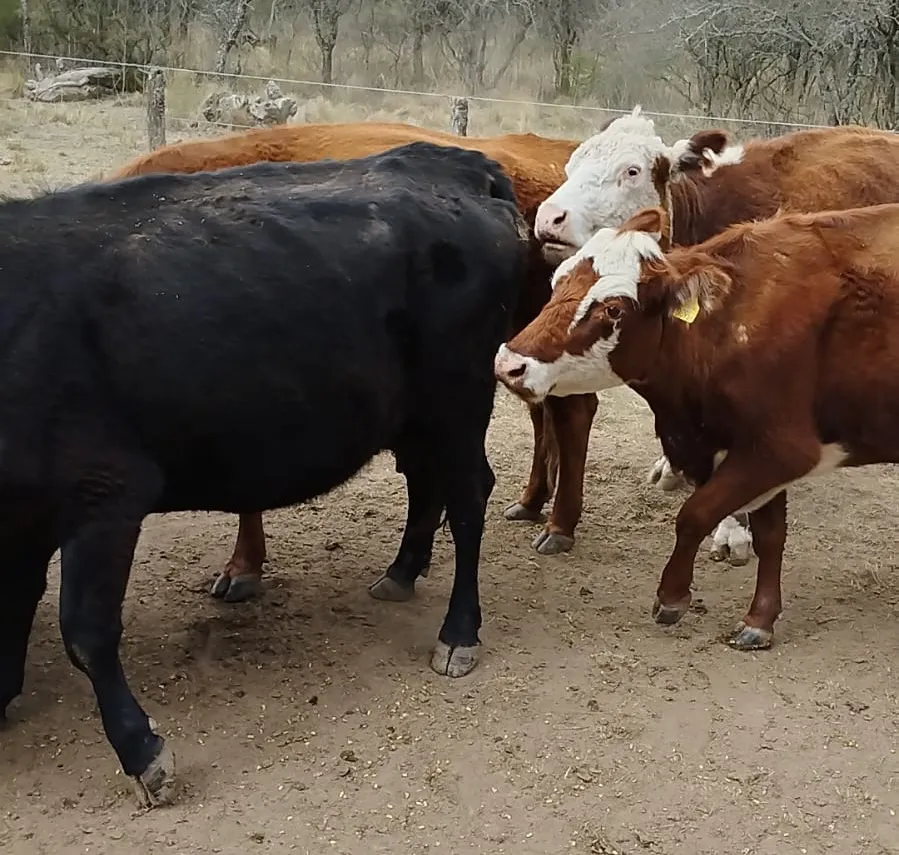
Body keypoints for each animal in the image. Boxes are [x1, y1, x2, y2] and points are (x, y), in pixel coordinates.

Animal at [0, 142, 529, 807]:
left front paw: (142, 752)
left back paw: (459, 633)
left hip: (458, 399)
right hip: (415, 413)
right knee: (425, 483)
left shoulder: (104, 493)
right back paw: (401, 573)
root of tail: (454, 161)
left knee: (468, 498)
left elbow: (86, 633)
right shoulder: (27, 514)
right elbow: (19, 602)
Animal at [496, 202, 899, 652]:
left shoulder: (780, 451)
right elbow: (770, 535)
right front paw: (760, 619)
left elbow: (695, 514)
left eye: (614, 309)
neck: (726, 324)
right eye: (557, 281)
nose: (509, 364)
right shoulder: (746, 450)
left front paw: (673, 596)